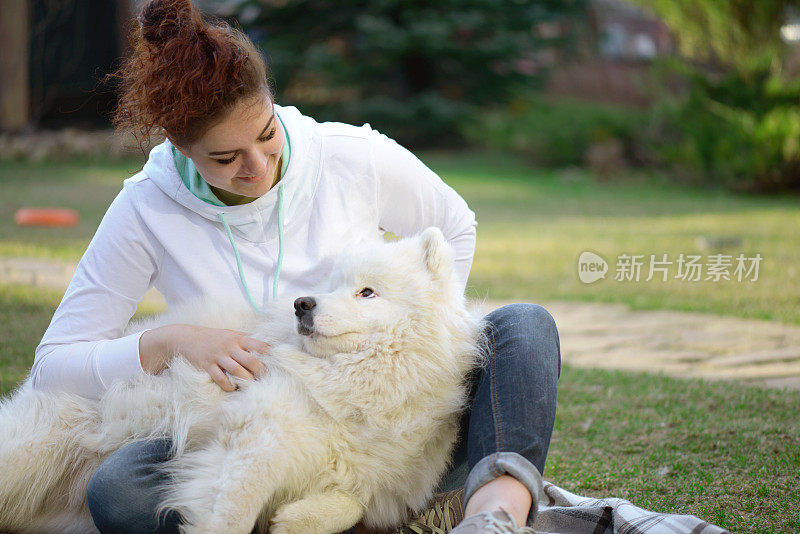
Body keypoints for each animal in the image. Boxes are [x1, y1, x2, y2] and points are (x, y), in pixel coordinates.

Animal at [0, 229, 482, 534]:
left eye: (367, 292)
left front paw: (297, 519)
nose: (302, 304)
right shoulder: (258, 435)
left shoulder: (379, 482)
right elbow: (231, 514)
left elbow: (352, 501)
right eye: (331, 285)